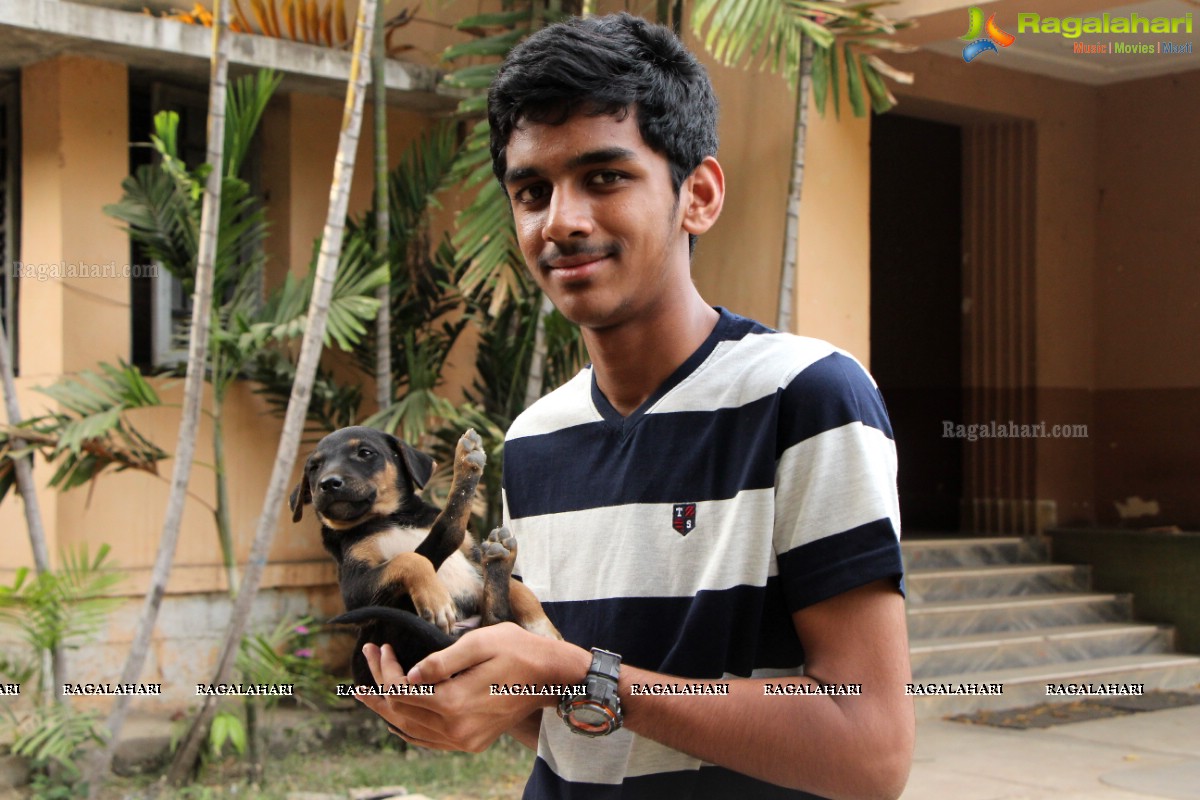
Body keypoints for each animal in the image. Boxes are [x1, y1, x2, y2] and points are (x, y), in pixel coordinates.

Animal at [290, 429, 556, 686]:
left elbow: (519, 589)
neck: (390, 518)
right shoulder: (354, 591)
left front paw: (544, 628)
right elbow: (413, 557)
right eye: (314, 467)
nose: (328, 483)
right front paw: (436, 600)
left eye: (365, 452)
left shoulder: (471, 555)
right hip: (393, 622)